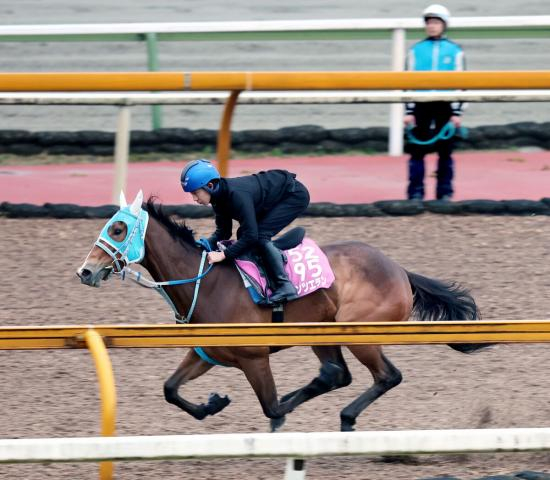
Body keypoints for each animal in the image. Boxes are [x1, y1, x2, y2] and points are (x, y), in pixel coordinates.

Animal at [77, 190, 488, 432]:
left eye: (117, 229)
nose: (85, 271)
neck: (204, 281)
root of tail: (400, 270)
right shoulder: (207, 352)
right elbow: (170, 389)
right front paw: (213, 403)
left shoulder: (254, 357)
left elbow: (271, 408)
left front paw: (277, 412)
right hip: (321, 330)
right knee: (336, 374)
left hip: (358, 331)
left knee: (387, 376)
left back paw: (346, 417)